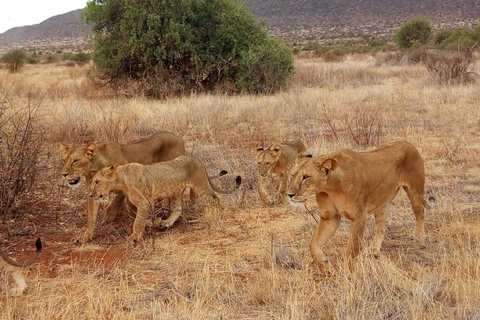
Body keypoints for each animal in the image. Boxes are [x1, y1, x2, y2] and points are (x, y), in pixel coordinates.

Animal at [59, 130, 187, 242]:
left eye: (75, 161)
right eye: (64, 160)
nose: (63, 174)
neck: (95, 167)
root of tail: (178, 137)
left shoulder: (127, 181)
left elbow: (119, 199)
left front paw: (110, 213)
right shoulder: (93, 192)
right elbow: (91, 217)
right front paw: (85, 237)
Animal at [88, 156, 242, 242]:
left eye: (97, 182)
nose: (90, 195)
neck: (121, 180)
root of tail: (199, 161)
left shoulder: (145, 202)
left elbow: (137, 221)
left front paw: (134, 238)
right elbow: (139, 219)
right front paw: (152, 224)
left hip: (200, 185)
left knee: (215, 198)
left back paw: (214, 215)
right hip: (176, 192)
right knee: (178, 208)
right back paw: (166, 223)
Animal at [284, 141, 432, 272]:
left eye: (306, 177)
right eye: (292, 175)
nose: (289, 194)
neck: (329, 187)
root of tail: (409, 143)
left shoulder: (359, 216)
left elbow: (352, 248)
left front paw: (348, 273)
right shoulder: (330, 216)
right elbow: (313, 244)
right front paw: (324, 266)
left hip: (415, 191)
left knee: (420, 213)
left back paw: (419, 238)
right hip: (382, 203)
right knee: (381, 227)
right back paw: (374, 250)